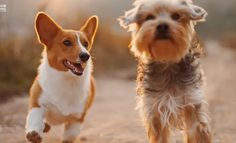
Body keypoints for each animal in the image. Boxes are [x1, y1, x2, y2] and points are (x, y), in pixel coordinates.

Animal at [25, 12, 98, 143]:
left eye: (86, 44)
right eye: (67, 42)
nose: (86, 55)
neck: (66, 80)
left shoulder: (77, 118)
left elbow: (70, 135)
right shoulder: (37, 104)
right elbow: (35, 119)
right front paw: (34, 133)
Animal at [119, 0, 211, 143]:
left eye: (176, 16)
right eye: (149, 17)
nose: (162, 25)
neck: (167, 61)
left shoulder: (192, 102)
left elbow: (198, 131)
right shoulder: (154, 108)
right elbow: (160, 136)